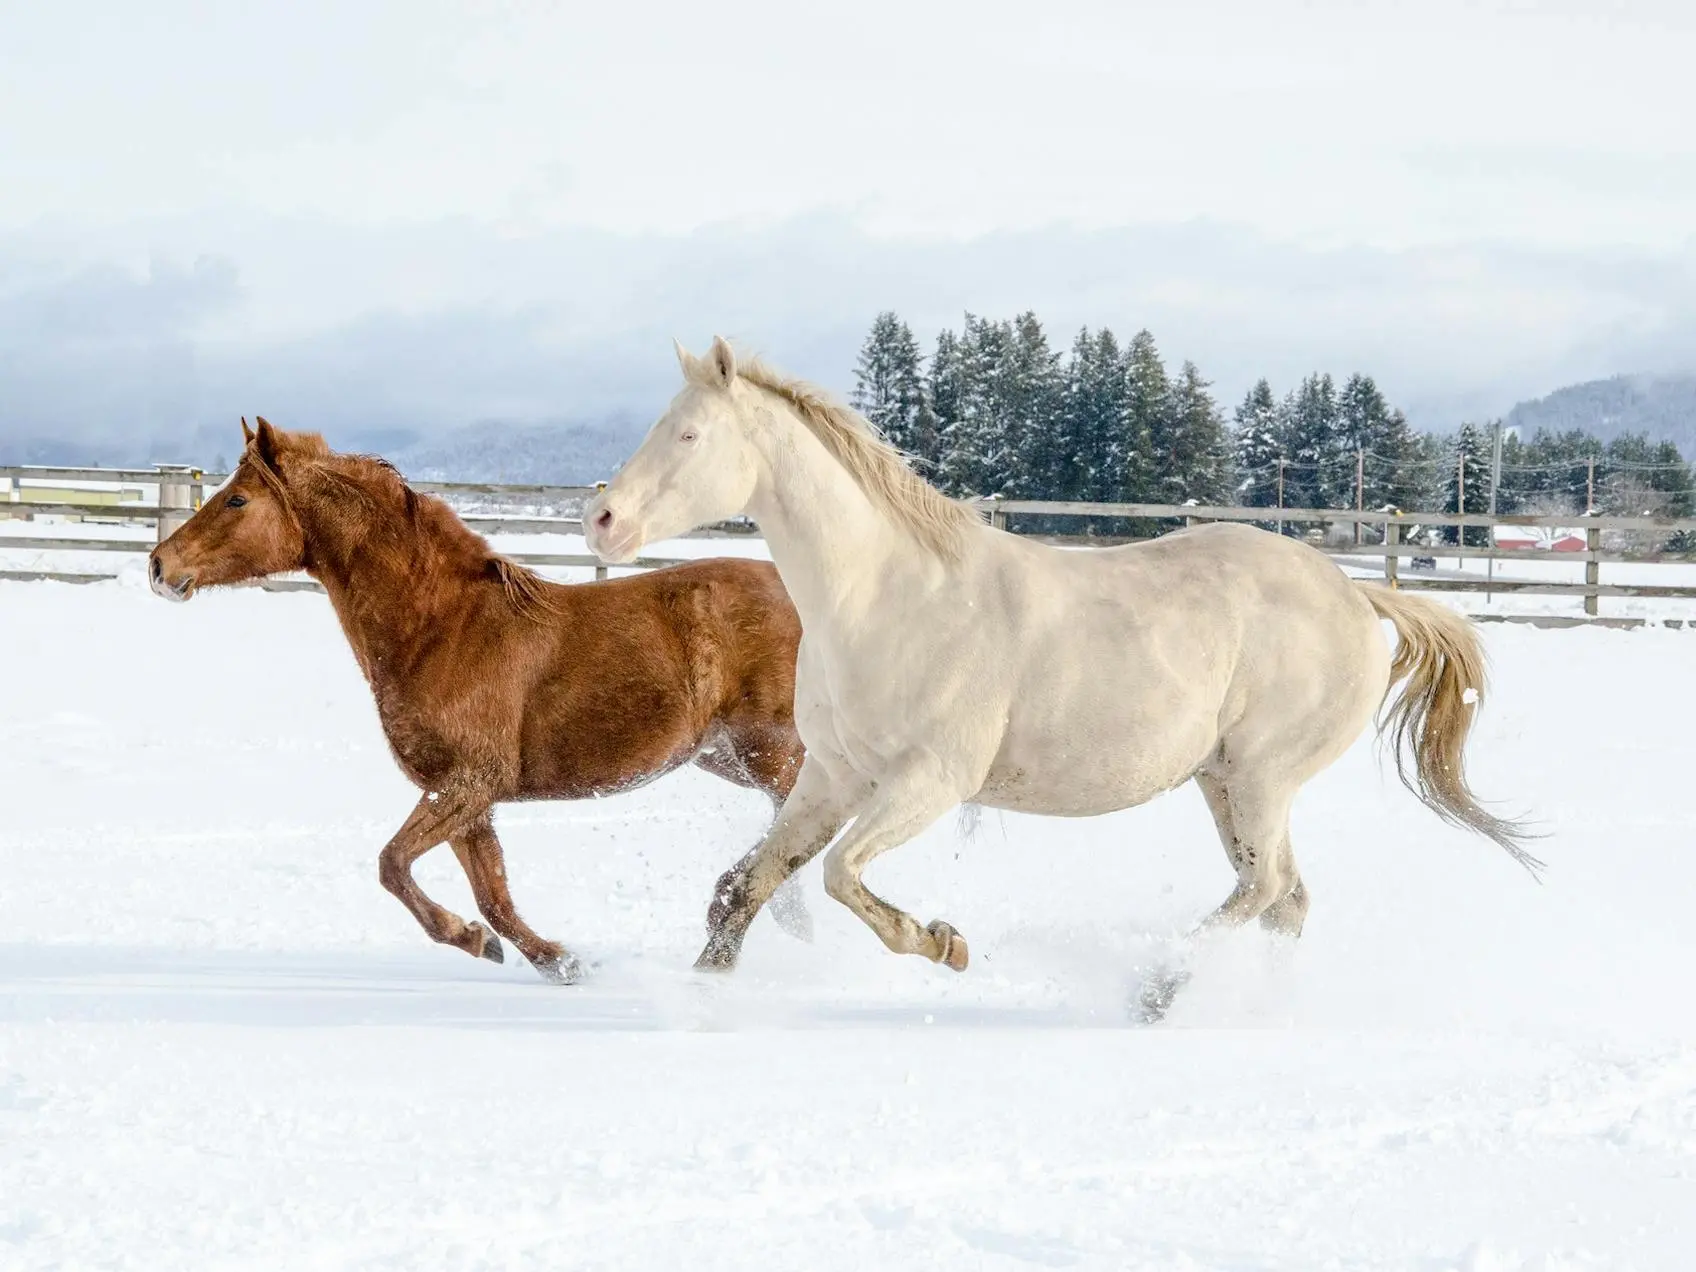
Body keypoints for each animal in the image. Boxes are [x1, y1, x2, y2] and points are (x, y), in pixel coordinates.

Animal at [148, 416, 810, 984]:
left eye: (238, 500)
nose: (159, 567)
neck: (442, 627)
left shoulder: (468, 781)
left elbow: (393, 865)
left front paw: (478, 939)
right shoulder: (469, 800)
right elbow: (493, 898)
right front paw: (555, 960)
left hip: (771, 750)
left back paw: (725, 938)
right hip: (725, 756)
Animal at [583, 337, 1536, 1018]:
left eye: (689, 433)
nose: (602, 519)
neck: (887, 595)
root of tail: (1356, 594)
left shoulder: (929, 780)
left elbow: (840, 877)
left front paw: (945, 943)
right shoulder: (833, 773)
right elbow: (750, 884)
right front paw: (705, 985)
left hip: (1263, 777)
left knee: (1265, 888)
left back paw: (1158, 988)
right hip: (1224, 782)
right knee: (1284, 900)